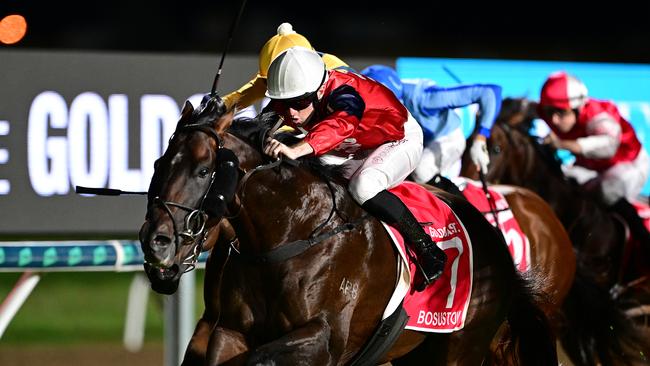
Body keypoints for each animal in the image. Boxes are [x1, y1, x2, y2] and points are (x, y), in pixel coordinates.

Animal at [139, 97, 556, 366]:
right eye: (159, 164)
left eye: (203, 171)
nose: (156, 242)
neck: (291, 234)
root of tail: (495, 243)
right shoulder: (229, 331)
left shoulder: (325, 339)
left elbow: (263, 359)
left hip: (459, 348)